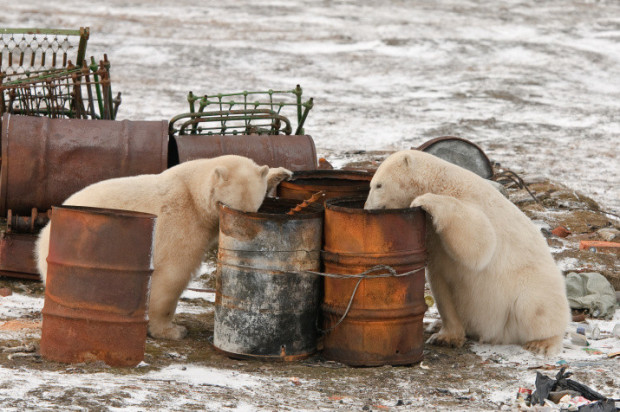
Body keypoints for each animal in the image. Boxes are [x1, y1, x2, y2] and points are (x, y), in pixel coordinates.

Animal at [36, 156, 294, 340]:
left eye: (252, 209)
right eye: (227, 206)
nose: (242, 230)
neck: (193, 193)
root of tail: (43, 237)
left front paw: (281, 173)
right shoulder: (183, 225)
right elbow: (173, 276)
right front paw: (172, 330)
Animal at [364, 150, 572, 356]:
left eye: (379, 185)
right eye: (371, 184)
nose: (367, 209)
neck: (440, 181)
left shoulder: (472, 202)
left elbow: (481, 241)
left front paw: (423, 200)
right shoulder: (434, 244)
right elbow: (442, 287)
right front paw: (444, 337)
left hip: (531, 285)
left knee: (535, 307)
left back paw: (542, 343)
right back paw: (436, 325)